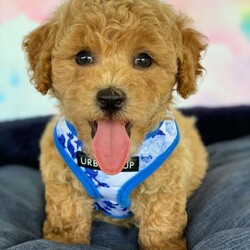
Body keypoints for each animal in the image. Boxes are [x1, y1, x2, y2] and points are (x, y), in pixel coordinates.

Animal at [23, 0, 207, 249]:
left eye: (144, 60)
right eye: (83, 57)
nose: (110, 98)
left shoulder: (164, 184)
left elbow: (161, 224)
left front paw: (165, 244)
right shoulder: (63, 179)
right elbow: (68, 217)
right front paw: (63, 239)